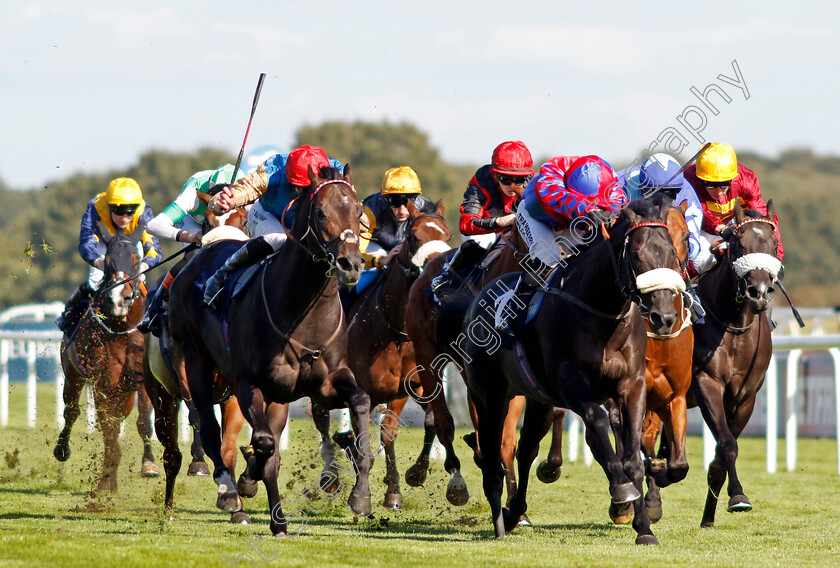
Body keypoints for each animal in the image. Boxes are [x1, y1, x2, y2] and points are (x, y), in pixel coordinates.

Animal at [54, 225, 156, 488]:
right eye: (108, 261)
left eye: (136, 259)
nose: (120, 300)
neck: (121, 328)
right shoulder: (102, 380)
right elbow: (107, 428)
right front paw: (105, 481)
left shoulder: (141, 378)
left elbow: (143, 421)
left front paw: (149, 465)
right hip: (73, 374)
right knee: (71, 411)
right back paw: (62, 450)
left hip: (123, 392)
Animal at [167, 165, 368, 536]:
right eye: (321, 213)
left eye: (358, 211)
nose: (351, 264)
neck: (301, 311)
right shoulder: (248, 383)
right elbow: (263, 444)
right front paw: (249, 481)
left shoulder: (324, 383)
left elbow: (360, 403)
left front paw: (361, 497)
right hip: (194, 365)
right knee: (209, 428)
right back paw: (230, 490)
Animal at [316, 200, 452, 510]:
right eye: (413, 237)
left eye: (448, 235)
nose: (438, 272)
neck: (395, 332)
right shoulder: (360, 391)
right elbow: (359, 437)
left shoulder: (406, 388)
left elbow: (392, 430)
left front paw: (401, 485)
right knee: (324, 423)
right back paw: (330, 477)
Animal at [462, 197, 680, 544]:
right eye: (636, 254)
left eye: (671, 253)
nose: (664, 317)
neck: (602, 316)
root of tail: (479, 297)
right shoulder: (571, 385)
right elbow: (597, 420)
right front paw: (621, 488)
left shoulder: (632, 386)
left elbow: (633, 457)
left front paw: (644, 528)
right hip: (490, 395)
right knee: (493, 454)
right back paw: (499, 520)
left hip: (537, 399)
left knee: (526, 450)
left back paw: (514, 512)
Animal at [692, 201, 776, 528]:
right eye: (740, 244)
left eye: (774, 244)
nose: (759, 293)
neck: (734, 325)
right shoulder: (706, 382)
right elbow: (728, 444)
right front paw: (738, 496)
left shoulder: (745, 396)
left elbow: (721, 453)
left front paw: (710, 516)